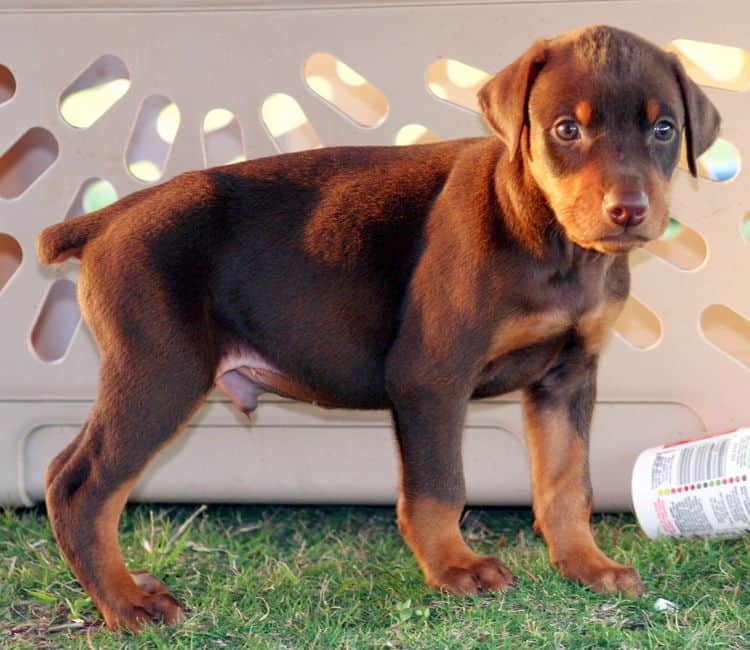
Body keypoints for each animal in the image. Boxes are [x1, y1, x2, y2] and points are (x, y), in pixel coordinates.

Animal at [35, 25, 724, 628]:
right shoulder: (431, 375)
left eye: (664, 128)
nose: (628, 211)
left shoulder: (568, 377)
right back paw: (127, 605)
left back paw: (128, 586)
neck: (549, 239)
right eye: (566, 129)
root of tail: (109, 217)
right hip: (162, 369)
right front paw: (455, 570)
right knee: (78, 485)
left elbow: (565, 481)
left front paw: (585, 564)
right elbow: (440, 487)